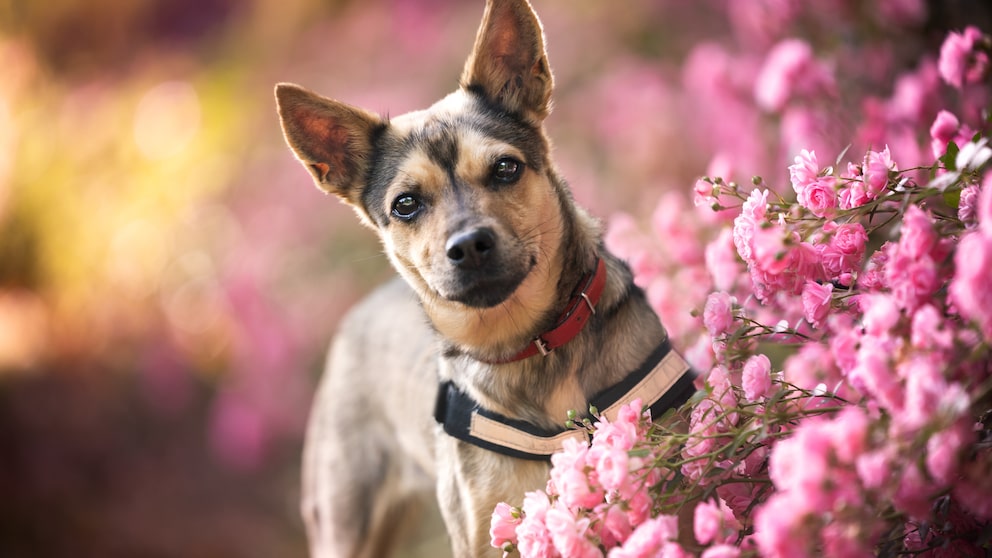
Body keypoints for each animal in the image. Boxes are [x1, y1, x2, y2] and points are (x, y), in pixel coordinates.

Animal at [276, 2, 692, 556]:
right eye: (405, 204)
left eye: (505, 168)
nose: (469, 245)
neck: (531, 348)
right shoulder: (486, 533)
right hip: (343, 520)